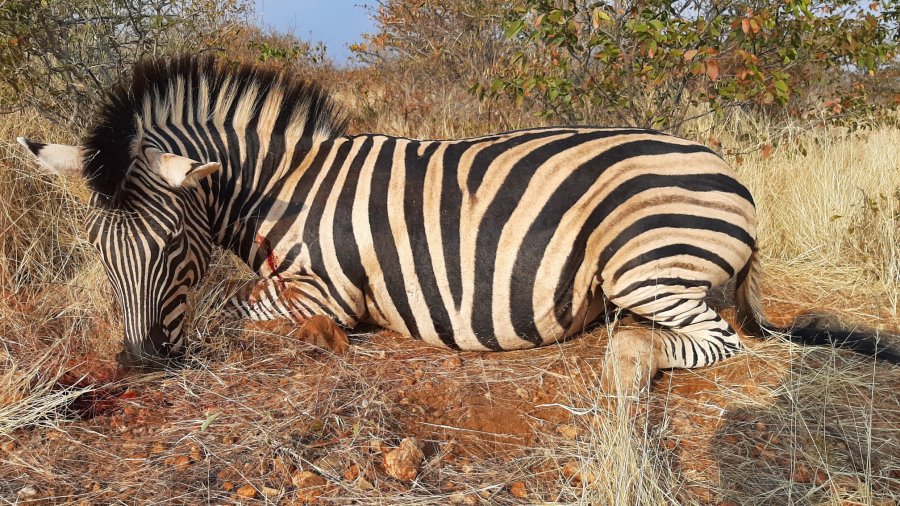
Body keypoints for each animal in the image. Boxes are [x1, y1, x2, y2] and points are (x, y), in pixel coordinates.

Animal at [18, 56, 899, 393]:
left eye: (172, 245)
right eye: (97, 249)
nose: (136, 363)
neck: (287, 187)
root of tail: (726, 168)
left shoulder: (328, 290)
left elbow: (234, 306)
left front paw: (317, 342)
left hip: (643, 257)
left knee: (709, 341)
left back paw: (627, 360)